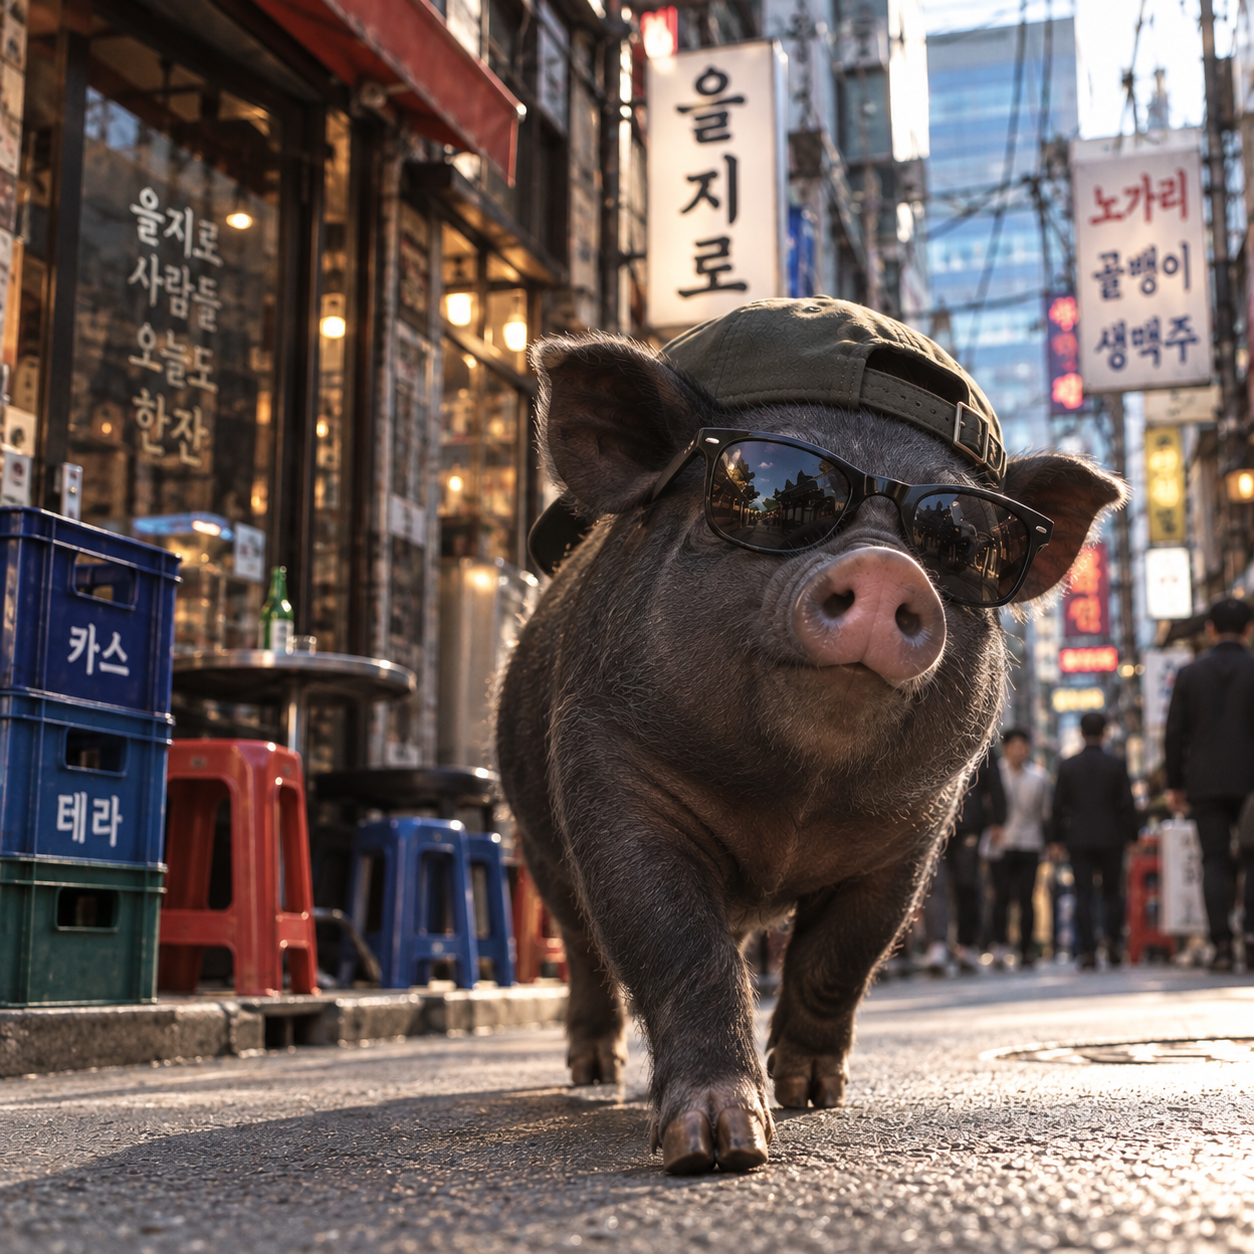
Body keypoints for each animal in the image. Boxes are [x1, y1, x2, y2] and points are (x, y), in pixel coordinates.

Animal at [496, 299, 1125, 1175]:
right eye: (770, 494)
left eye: (961, 538)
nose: (889, 569)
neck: (790, 809)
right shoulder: (606, 767)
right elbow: (675, 941)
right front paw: (719, 1147)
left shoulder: (912, 837)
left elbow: (843, 956)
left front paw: (815, 1095)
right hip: (533, 834)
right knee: (585, 947)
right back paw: (591, 1074)